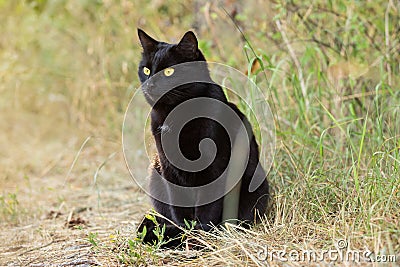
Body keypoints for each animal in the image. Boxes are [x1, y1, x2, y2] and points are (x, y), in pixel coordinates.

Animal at [135, 28, 268, 248]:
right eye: (146, 70)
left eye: (169, 71)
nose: (150, 84)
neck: (175, 114)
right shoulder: (167, 166)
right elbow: (178, 205)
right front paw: (184, 231)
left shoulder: (214, 167)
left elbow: (208, 207)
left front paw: (200, 234)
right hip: (155, 173)